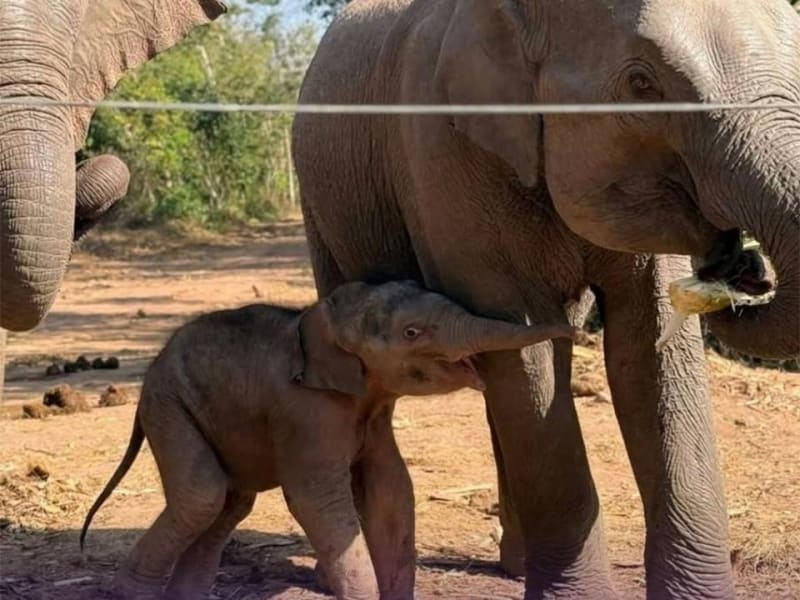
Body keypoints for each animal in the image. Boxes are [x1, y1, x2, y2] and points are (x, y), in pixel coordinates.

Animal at [80, 280, 577, 600]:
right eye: (412, 332)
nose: (572, 328)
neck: (322, 320)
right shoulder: (306, 412)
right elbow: (317, 499)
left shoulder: (373, 414)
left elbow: (390, 490)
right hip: (170, 406)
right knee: (203, 496)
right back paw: (128, 594)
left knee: (230, 504)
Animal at [292, 1, 800, 598]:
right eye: (642, 83)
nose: (744, 267)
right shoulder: (442, 155)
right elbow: (529, 350)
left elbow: (649, 350)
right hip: (319, 206)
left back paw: (516, 565)